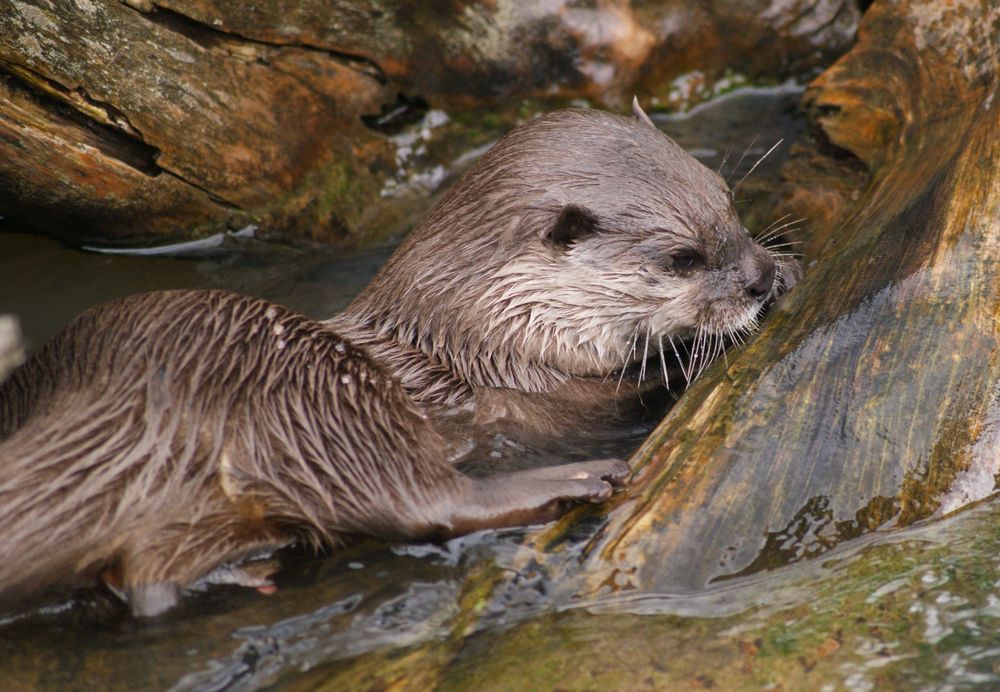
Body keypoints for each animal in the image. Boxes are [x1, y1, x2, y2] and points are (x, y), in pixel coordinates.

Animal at [0, 104, 796, 616]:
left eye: (729, 201)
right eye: (683, 257)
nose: (757, 277)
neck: (481, 327)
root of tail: (126, 413)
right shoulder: (529, 381)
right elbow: (616, 391)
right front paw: (696, 353)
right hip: (311, 396)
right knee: (425, 504)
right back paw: (580, 480)